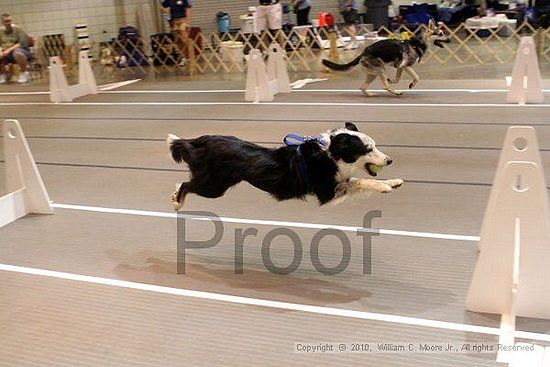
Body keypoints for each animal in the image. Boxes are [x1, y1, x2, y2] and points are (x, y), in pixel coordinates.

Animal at [166, 123, 404, 211]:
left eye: (375, 146)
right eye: (367, 149)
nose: (390, 160)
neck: (329, 155)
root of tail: (202, 139)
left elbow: (360, 180)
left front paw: (393, 181)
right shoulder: (327, 193)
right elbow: (362, 181)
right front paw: (384, 187)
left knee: (186, 182)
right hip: (214, 187)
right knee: (186, 184)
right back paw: (177, 202)